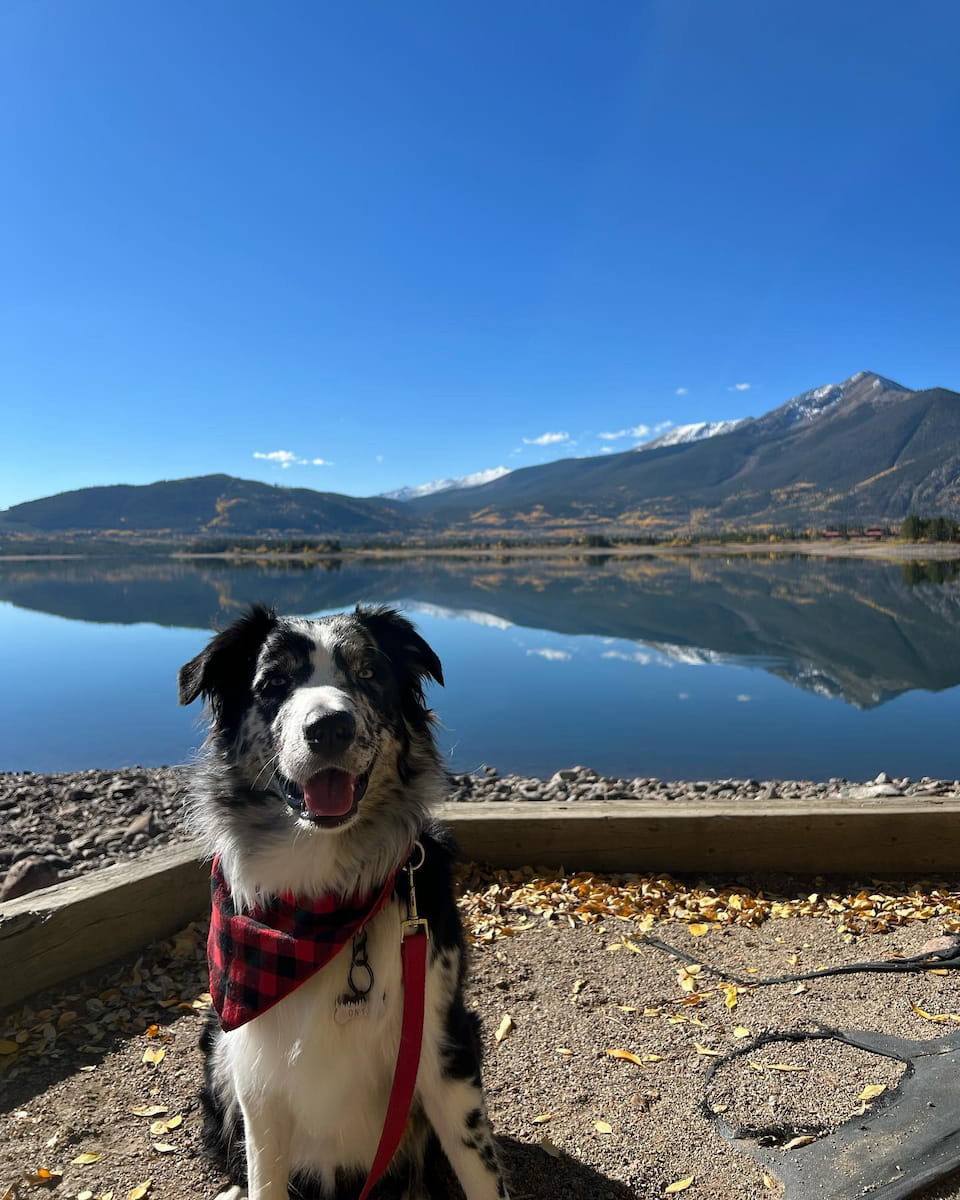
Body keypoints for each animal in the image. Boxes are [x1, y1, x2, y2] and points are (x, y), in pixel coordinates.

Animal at [178, 604, 508, 1200]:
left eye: (369, 674)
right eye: (274, 683)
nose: (330, 727)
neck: (324, 888)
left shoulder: (441, 1045)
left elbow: (479, 1172)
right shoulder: (255, 1067)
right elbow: (263, 1175)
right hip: (218, 1050)